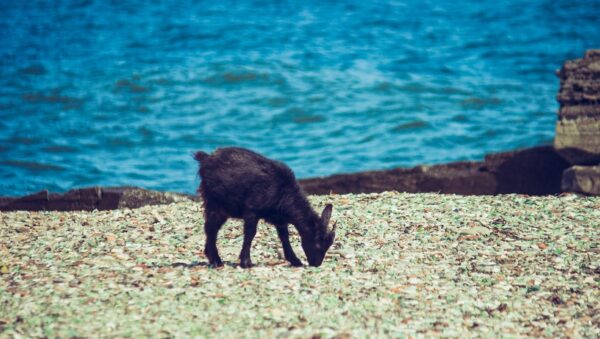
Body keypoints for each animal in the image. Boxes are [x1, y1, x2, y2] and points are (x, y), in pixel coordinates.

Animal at [195, 148, 336, 268]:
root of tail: (206, 158)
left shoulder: (279, 219)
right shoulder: (252, 210)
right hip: (214, 202)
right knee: (211, 228)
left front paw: (295, 260)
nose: (316, 263)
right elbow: (250, 233)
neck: (282, 192)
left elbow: (284, 236)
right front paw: (246, 262)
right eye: (318, 243)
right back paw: (216, 260)